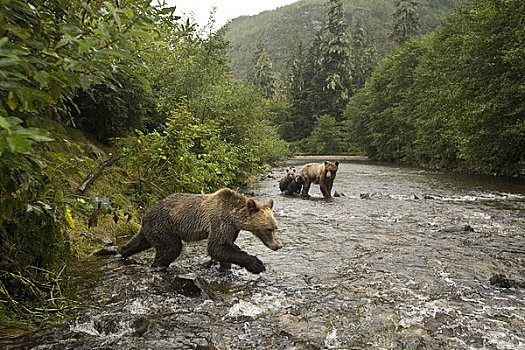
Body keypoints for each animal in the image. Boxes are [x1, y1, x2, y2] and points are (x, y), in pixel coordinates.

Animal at [119, 187, 282, 274]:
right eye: (268, 229)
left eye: (276, 227)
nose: (278, 245)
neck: (233, 216)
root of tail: (145, 215)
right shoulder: (220, 221)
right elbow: (216, 247)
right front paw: (256, 264)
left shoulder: (232, 229)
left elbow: (226, 248)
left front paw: (225, 267)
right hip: (164, 226)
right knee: (171, 249)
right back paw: (158, 266)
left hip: (151, 230)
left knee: (139, 242)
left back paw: (123, 252)